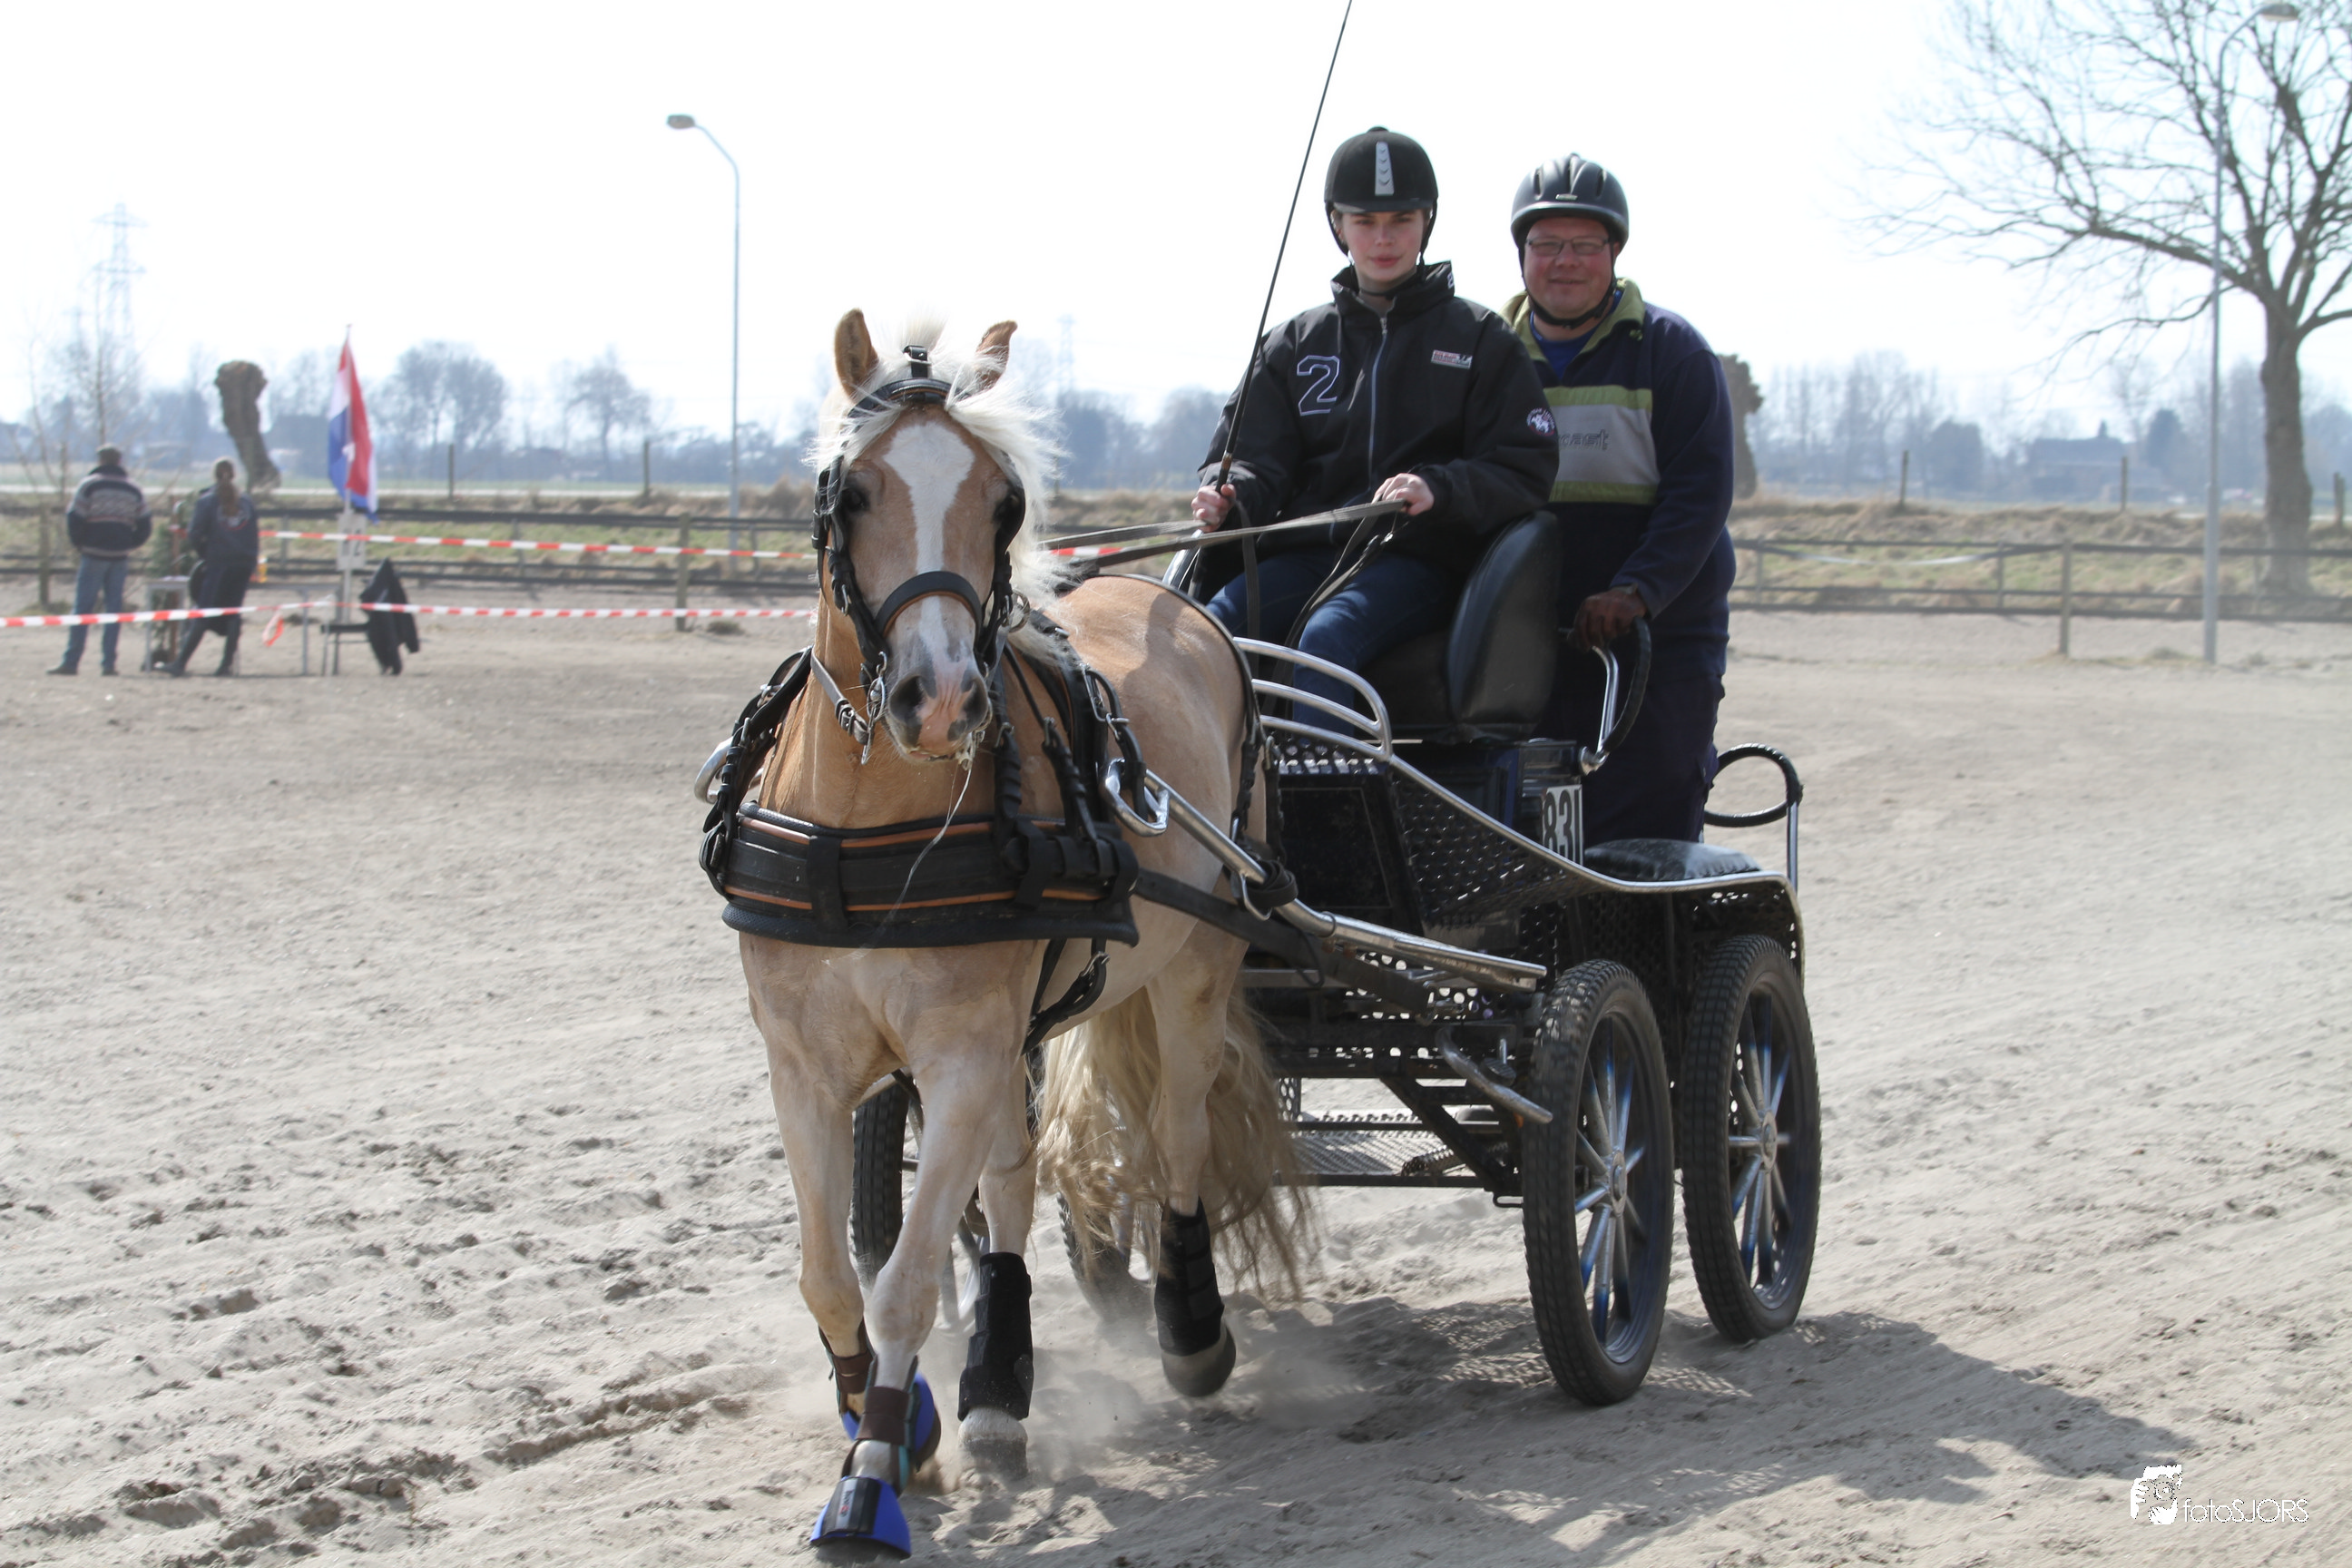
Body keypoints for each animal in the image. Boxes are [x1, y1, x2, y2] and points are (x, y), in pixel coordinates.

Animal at [725, 311, 1303, 1557]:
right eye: (853, 493)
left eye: (1003, 503)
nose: (942, 697)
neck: (868, 829)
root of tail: (1189, 611)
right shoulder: (807, 1066)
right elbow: (833, 1276)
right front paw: (902, 1416)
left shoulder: (959, 1054)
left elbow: (901, 1284)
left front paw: (870, 1482)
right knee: (1013, 1184)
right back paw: (997, 1383)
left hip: (1192, 971)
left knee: (1178, 1141)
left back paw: (1190, 1330)